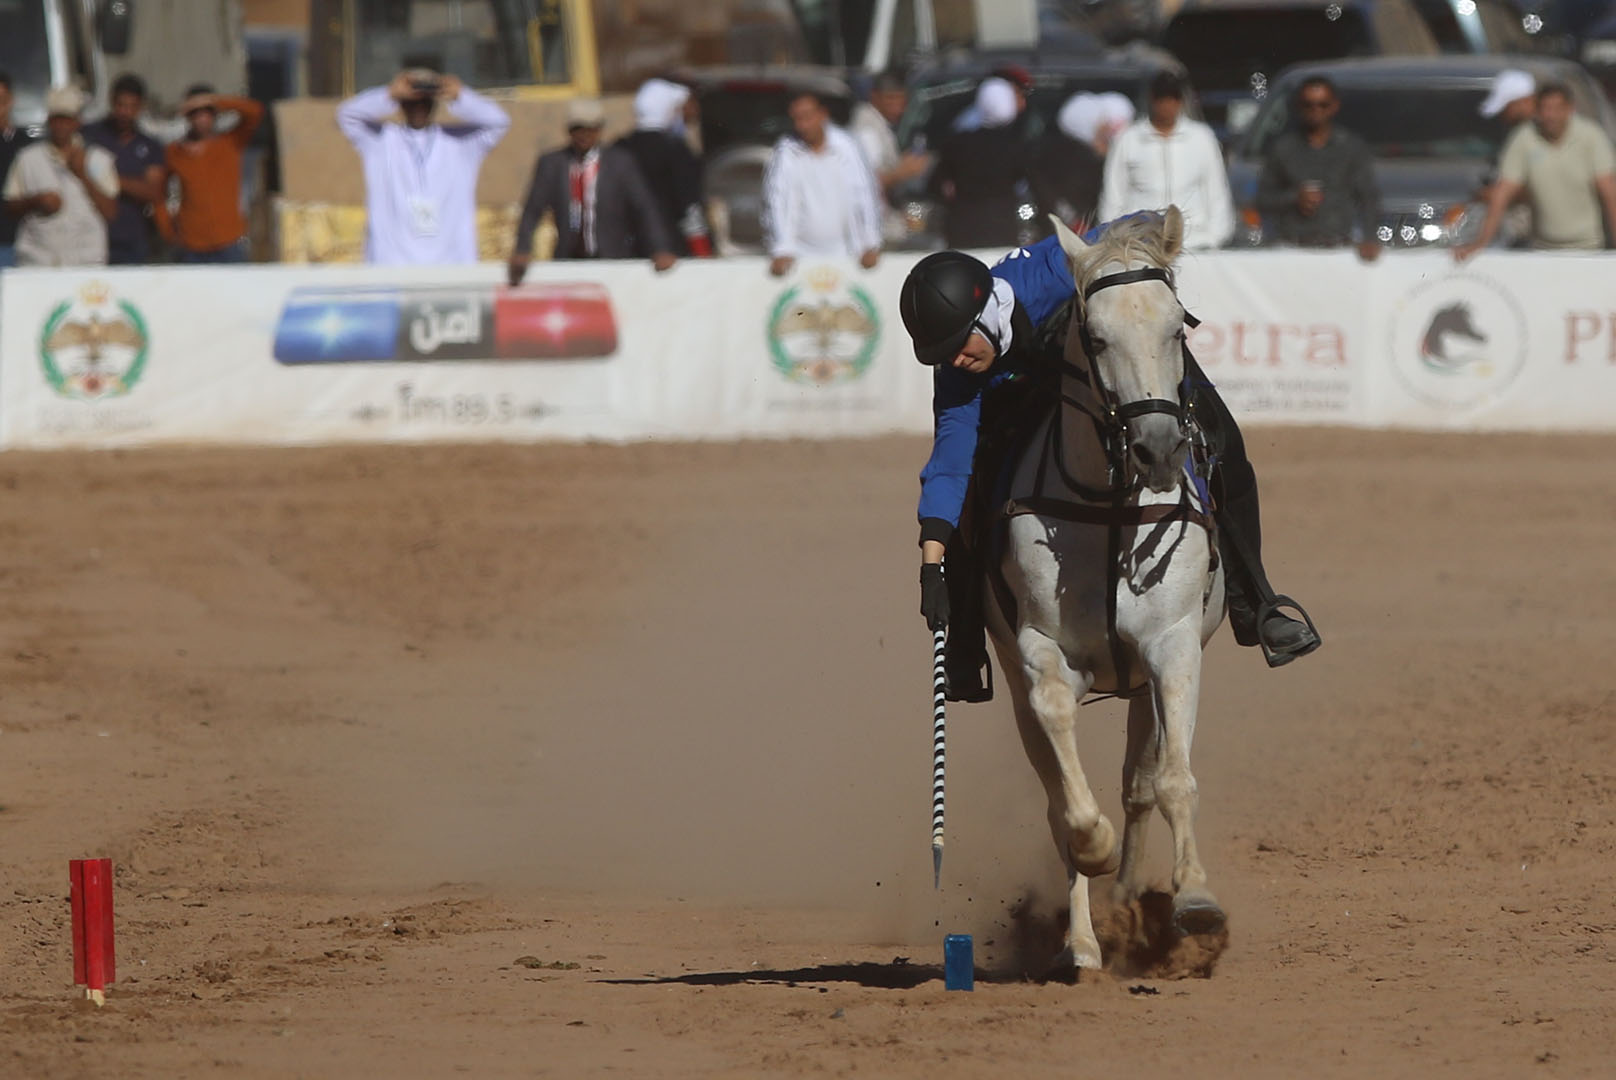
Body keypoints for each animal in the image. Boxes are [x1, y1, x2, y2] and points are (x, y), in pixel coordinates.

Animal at [985, 207, 1227, 977]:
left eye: (1178, 329)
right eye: (1094, 337)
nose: (1159, 449)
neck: (1112, 509)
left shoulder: (1174, 645)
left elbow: (1173, 780)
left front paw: (1194, 899)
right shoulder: (1039, 652)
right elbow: (1069, 796)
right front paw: (1094, 856)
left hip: (1143, 683)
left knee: (1139, 781)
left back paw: (1128, 903)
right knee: (1060, 789)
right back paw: (1086, 941)